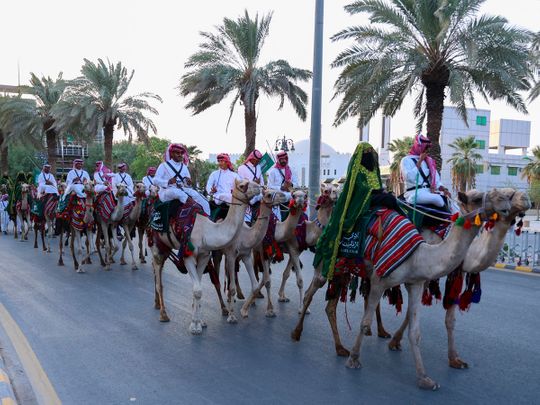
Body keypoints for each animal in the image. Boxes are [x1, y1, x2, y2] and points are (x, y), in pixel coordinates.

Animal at [152, 178, 262, 332]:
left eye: (251, 181)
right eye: (242, 185)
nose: (260, 187)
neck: (206, 231)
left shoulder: (204, 256)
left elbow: (198, 288)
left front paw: (200, 322)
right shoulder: (188, 255)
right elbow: (197, 290)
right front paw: (194, 326)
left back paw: (157, 304)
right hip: (158, 242)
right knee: (158, 274)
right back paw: (163, 314)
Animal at [213, 187, 286, 322]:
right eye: (269, 194)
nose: (284, 195)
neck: (246, 235)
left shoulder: (247, 254)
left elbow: (260, 282)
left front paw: (245, 310)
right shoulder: (234, 254)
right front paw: (232, 316)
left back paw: (234, 298)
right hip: (217, 253)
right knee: (217, 280)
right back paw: (225, 309)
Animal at [278, 183, 338, 312]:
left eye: (336, 188)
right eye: (326, 190)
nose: (335, 193)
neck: (308, 230)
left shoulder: (297, 250)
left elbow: (287, 273)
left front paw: (282, 297)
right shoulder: (293, 248)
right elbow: (300, 280)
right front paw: (302, 308)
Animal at [292, 189, 510, 388]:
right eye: (477, 198)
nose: (507, 201)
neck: (419, 254)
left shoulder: (420, 281)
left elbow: (420, 329)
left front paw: (430, 374)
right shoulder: (382, 279)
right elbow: (366, 321)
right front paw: (355, 359)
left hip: (344, 270)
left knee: (331, 306)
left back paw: (342, 347)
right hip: (327, 265)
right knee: (311, 292)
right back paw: (297, 332)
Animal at [388, 188, 532, 368]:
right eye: (508, 194)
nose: (526, 198)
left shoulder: (458, 272)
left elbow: (450, 319)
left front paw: (455, 359)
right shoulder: (424, 272)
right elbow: (410, 311)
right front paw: (394, 341)